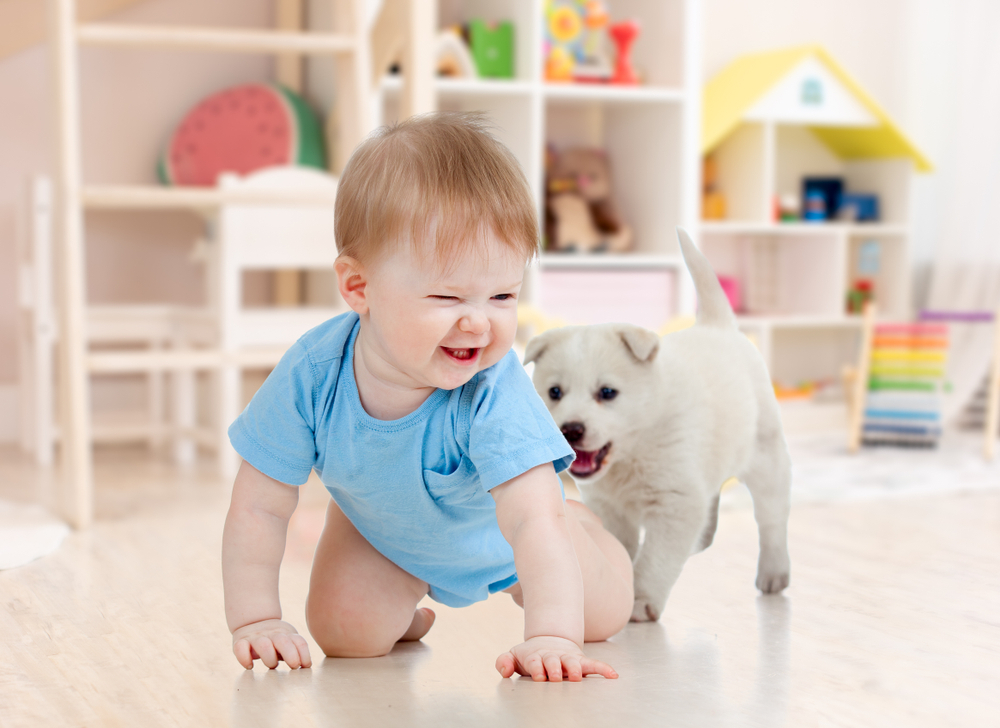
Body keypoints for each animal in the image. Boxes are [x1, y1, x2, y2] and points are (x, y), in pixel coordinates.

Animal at [528, 230, 792, 624]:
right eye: (554, 392)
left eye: (607, 393)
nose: (570, 429)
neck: (634, 451)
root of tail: (717, 327)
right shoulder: (607, 506)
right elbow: (618, 546)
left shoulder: (674, 503)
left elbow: (654, 558)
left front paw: (640, 600)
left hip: (766, 458)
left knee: (772, 519)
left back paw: (774, 572)